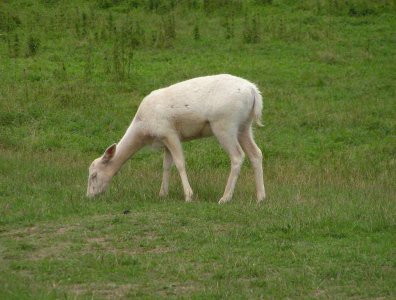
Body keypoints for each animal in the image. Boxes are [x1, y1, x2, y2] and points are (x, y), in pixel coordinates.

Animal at [86, 74, 266, 204]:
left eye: (94, 175)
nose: (88, 196)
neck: (143, 128)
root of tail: (253, 92)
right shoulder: (165, 141)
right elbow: (166, 165)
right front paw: (162, 194)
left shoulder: (169, 132)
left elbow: (179, 163)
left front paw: (188, 196)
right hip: (244, 126)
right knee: (256, 153)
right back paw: (261, 197)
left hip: (224, 125)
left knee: (237, 156)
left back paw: (225, 198)